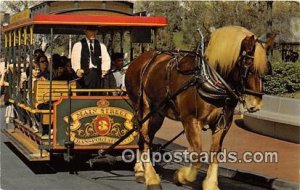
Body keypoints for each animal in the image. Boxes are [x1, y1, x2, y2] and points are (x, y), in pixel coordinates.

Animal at [124, 25, 274, 190]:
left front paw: (210, 184)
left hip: (158, 114)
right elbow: (197, 154)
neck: (209, 79)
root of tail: (138, 60)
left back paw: (140, 171)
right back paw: (151, 178)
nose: (255, 104)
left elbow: (215, 153)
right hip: (143, 108)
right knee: (144, 136)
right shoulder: (190, 120)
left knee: (146, 138)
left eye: (267, 69)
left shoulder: (222, 124)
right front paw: (181, 176)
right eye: (247, 66)